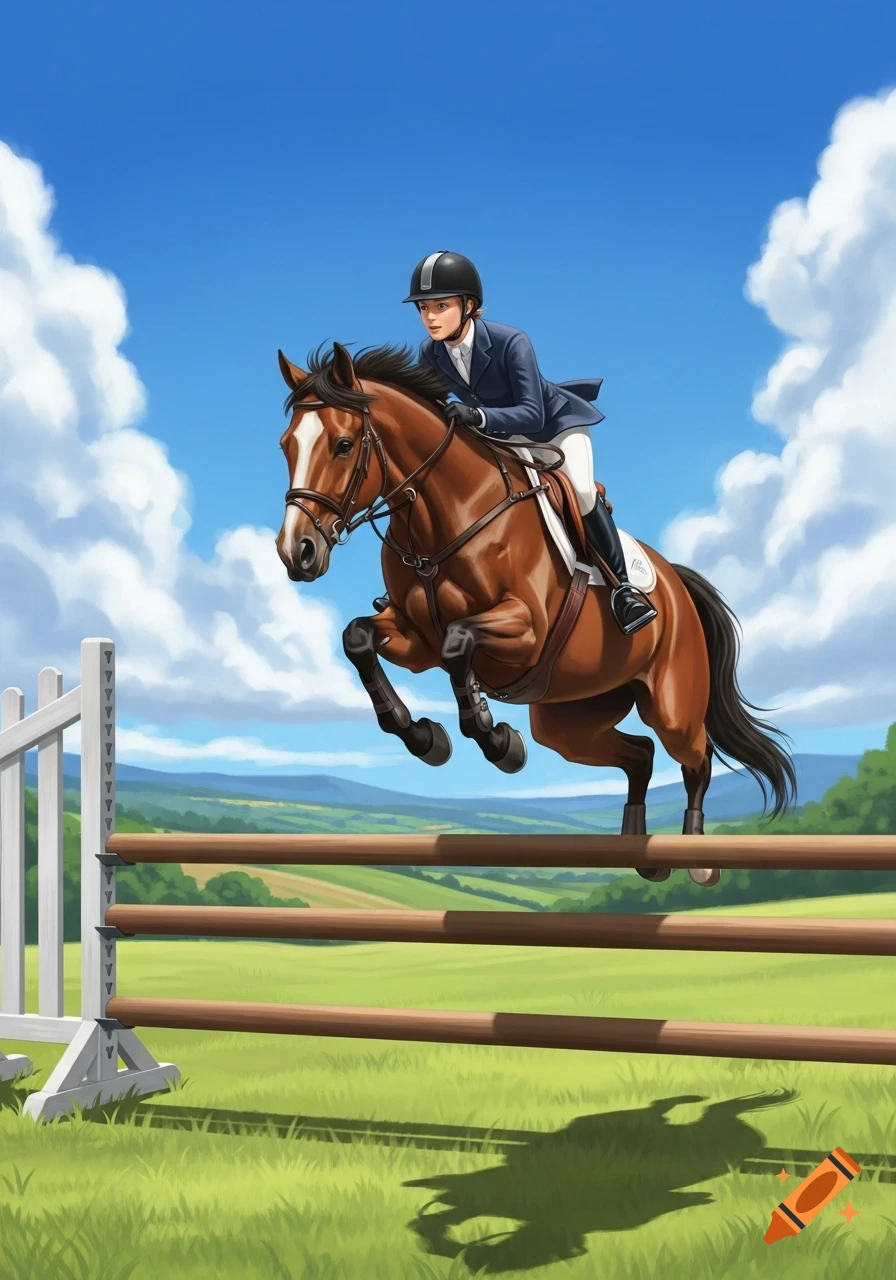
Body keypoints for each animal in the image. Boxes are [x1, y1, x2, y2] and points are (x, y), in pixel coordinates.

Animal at [274, 341, 796, 886]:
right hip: (569, 720)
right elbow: (358, 638)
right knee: (640, 755)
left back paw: (695, 860)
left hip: (671, 703)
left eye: (343, 445)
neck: (443, 517)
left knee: (696, 758)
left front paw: (499, 741)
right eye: (286, 446)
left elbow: (458, 641)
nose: (297, 552)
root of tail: (676, 582)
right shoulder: (414, 638)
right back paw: (639, 852)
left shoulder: (526, 629)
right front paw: (425, 737)